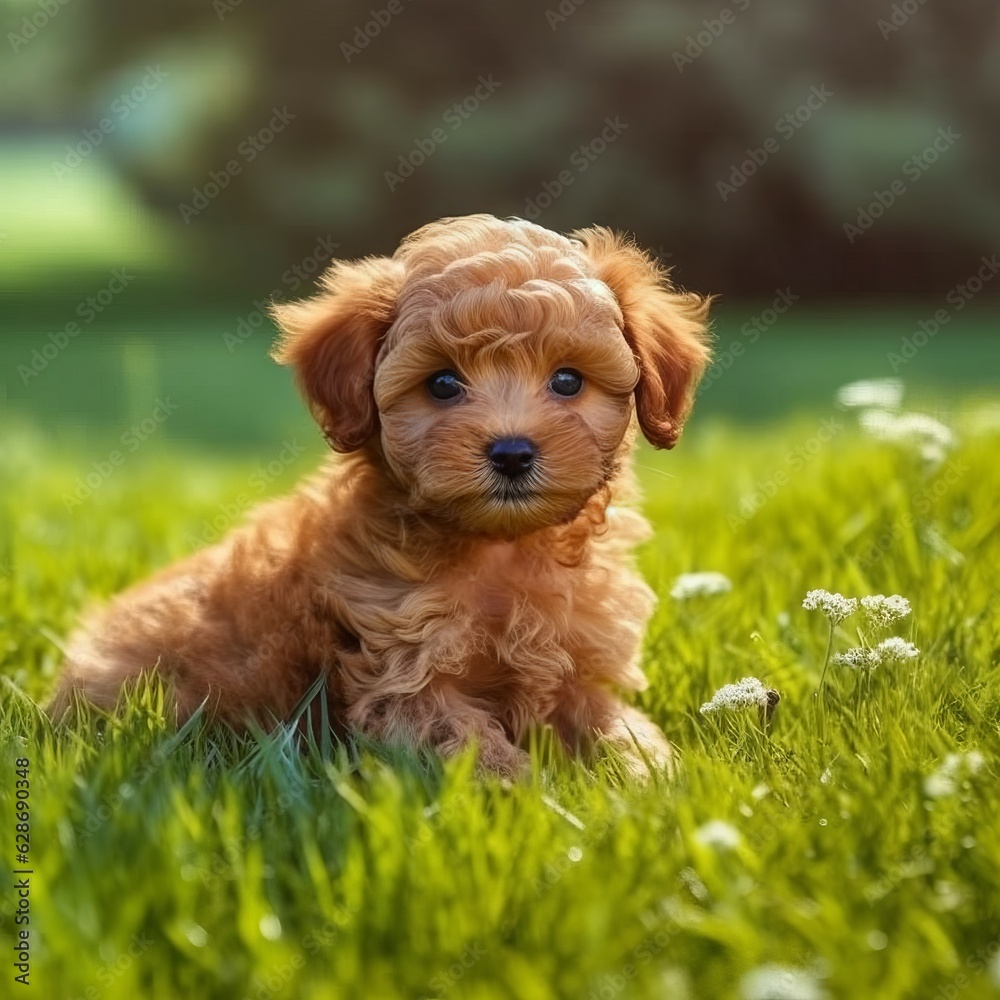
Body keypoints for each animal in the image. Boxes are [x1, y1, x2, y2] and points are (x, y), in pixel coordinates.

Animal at [52, 215, 712, 776]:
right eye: (442, 384)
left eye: (568, 380)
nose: (512, 453)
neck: (499, 550)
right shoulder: (404, 676)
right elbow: (475, 748)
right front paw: (534, 806)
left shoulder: (581, 665)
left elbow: (622, 733)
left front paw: (651, 788)